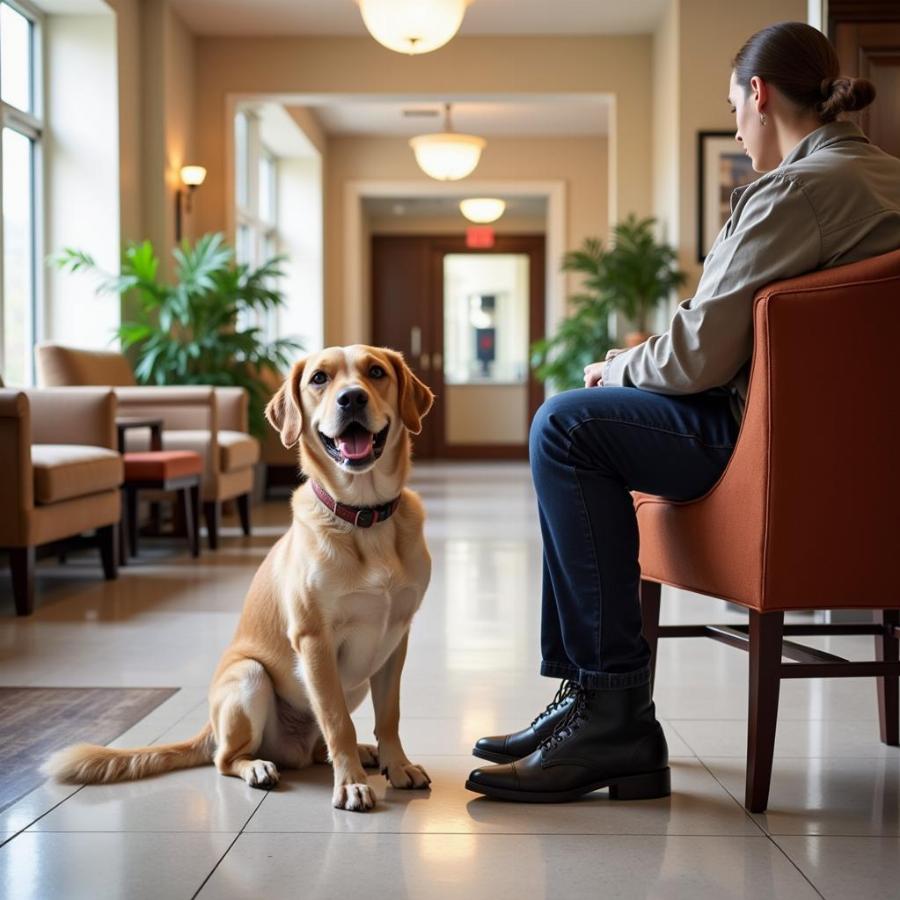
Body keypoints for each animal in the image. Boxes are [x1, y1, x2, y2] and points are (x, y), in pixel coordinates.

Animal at [45, 342, 436, 808]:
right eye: (319, 379)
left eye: (375, 372)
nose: (352, 398)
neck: (364, 517)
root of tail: (209, 726)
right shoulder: (314, 640)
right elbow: (337, 720)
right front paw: (351, 783)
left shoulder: (396, 636)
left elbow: (388, 714)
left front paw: (398, 765)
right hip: (249, 677)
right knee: (228, 757)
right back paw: (261, 767)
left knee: (317, 745)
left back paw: (363, 753)